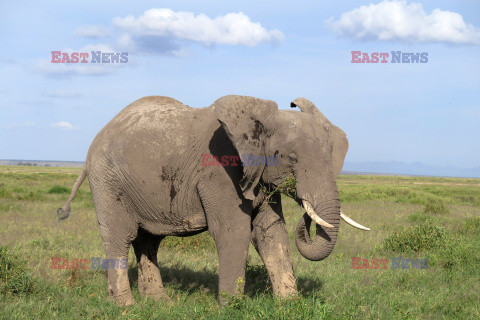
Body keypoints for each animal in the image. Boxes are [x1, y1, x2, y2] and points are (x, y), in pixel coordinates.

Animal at [57, 94, 372, 304]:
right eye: (291, 159)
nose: (307, 216)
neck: (259, 119)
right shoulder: (219, 171)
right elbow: (234, 231)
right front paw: (232, 307)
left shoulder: (257, 174)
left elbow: (270, 232)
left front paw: (289, 305)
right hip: (107, 179)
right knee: (120, 237)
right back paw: (125, 306)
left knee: (148, 242)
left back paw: (159, 303)